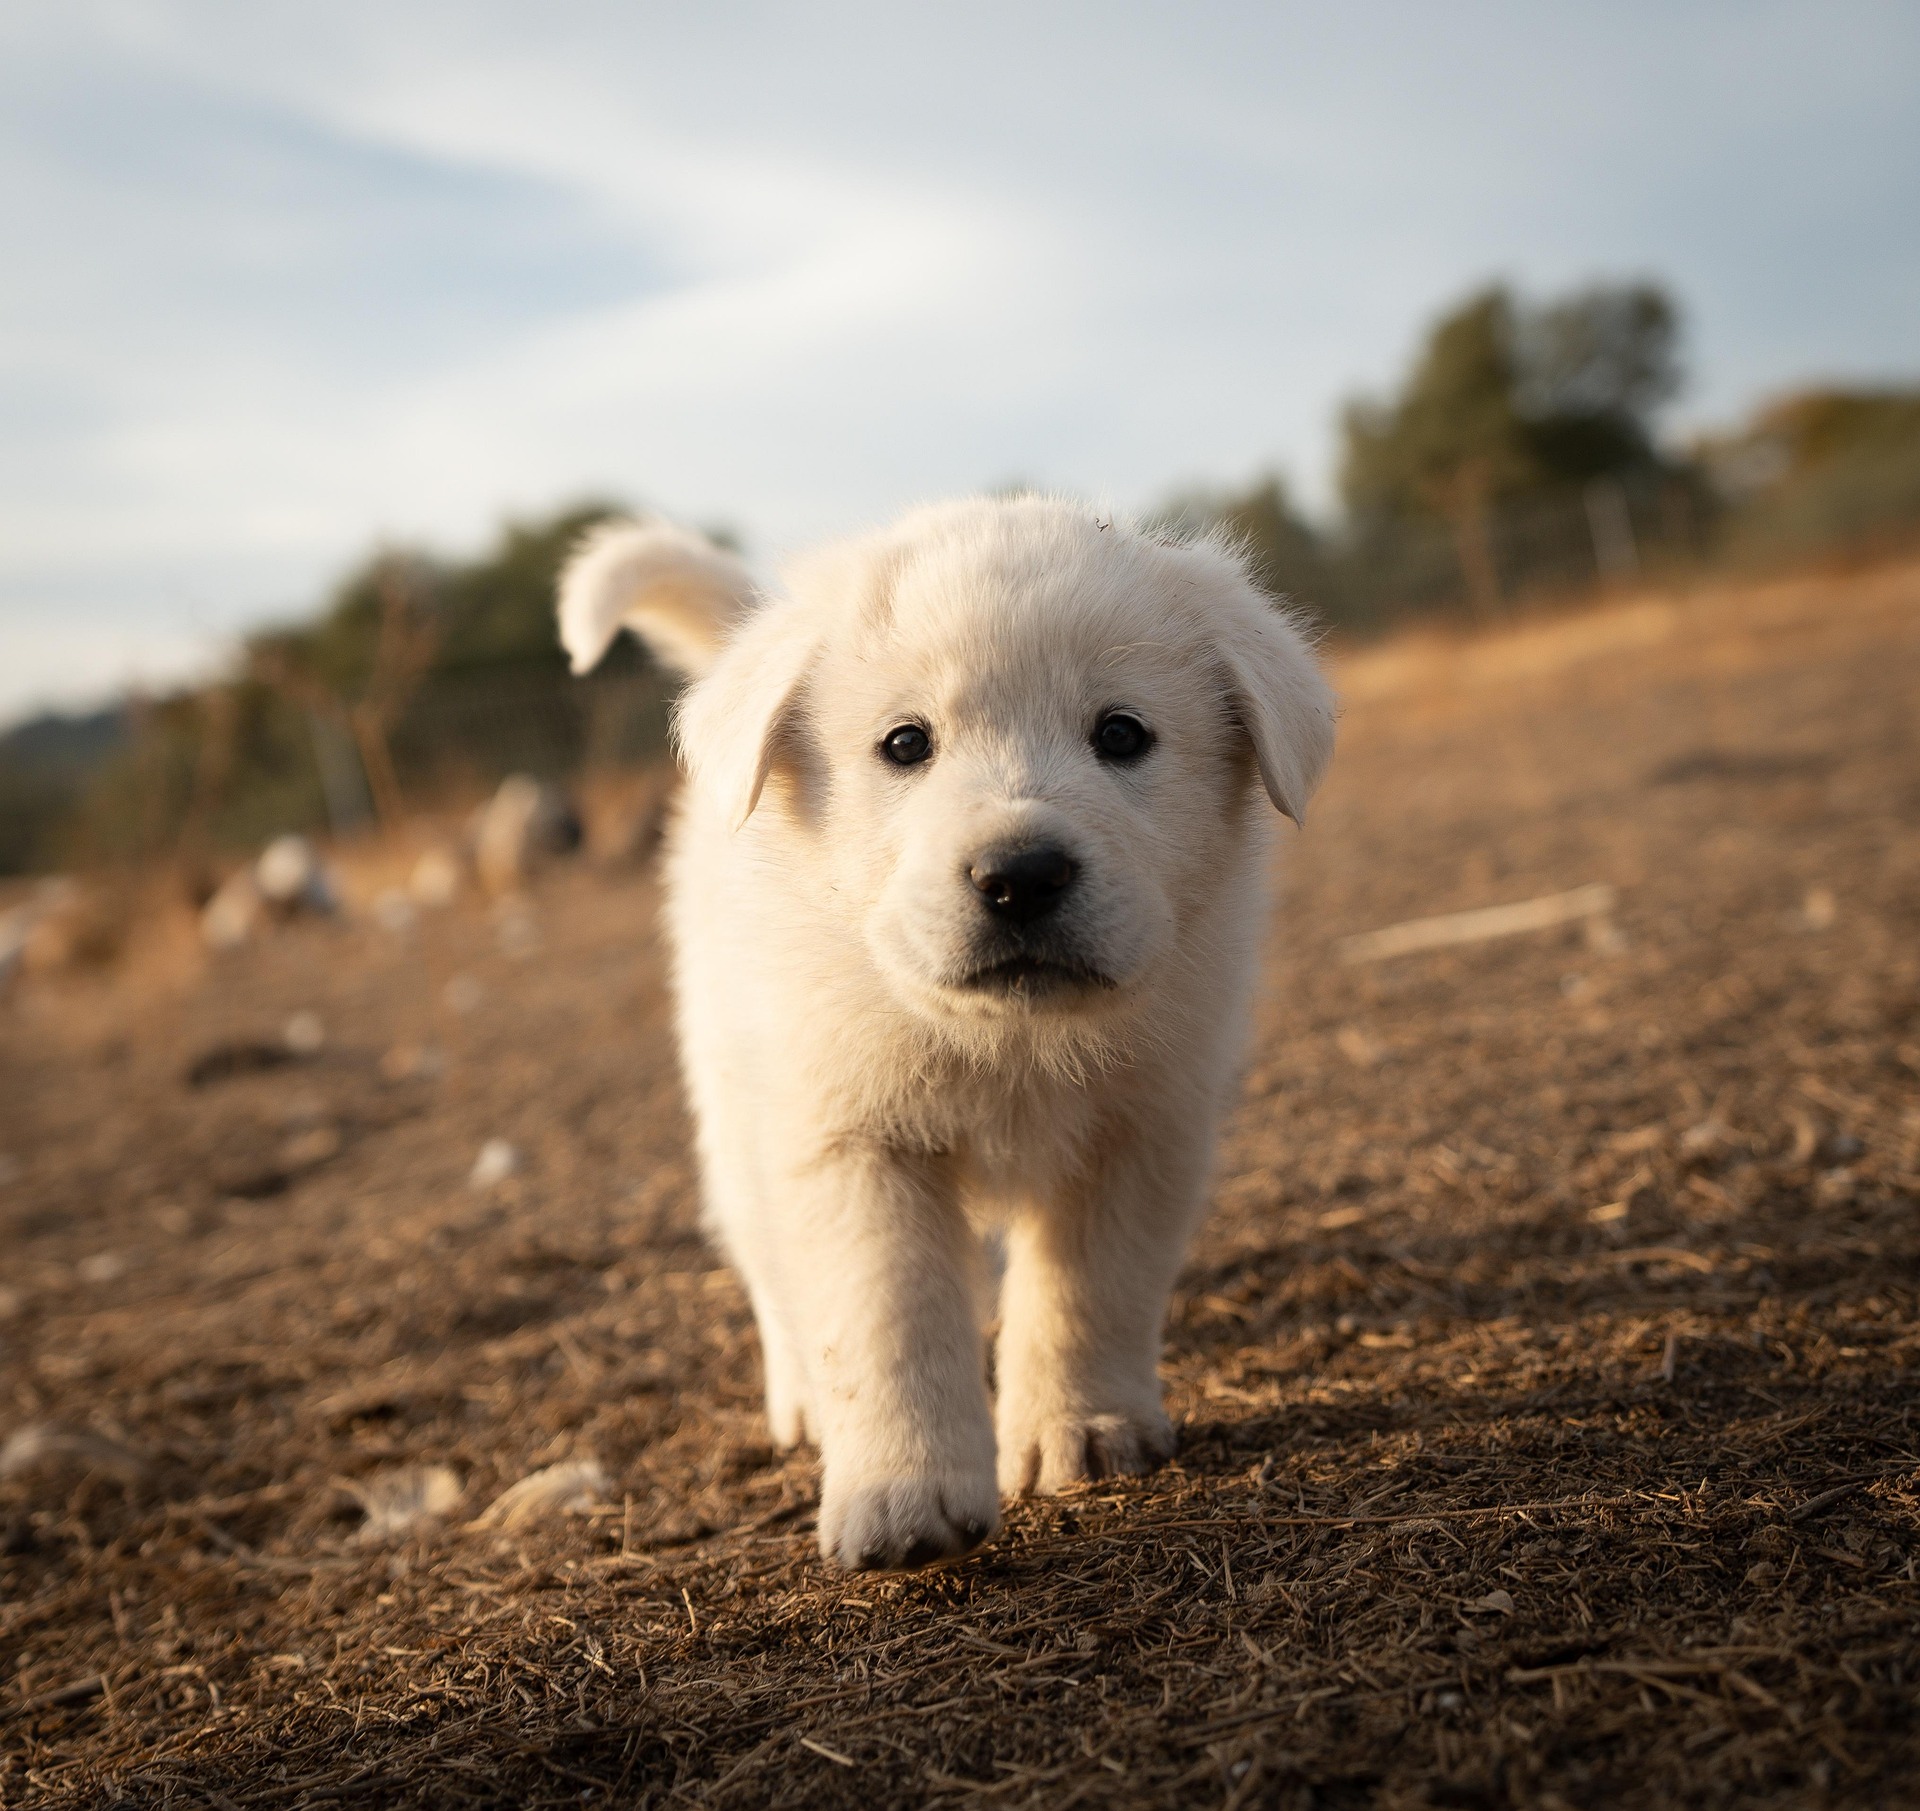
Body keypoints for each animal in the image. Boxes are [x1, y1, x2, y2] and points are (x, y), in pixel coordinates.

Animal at [556, 499, 1336, 1574]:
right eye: (905, 743)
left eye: (1122, 733)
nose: (1021, 876)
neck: (1008, 1044)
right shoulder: (851, 1139)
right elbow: (888, 1320)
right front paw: (903, 1495)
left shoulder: (1144, 1128)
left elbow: (1090, 1289)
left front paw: (1080, 1431)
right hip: (733, 1100)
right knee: (768, 1267)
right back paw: (801, 1397)